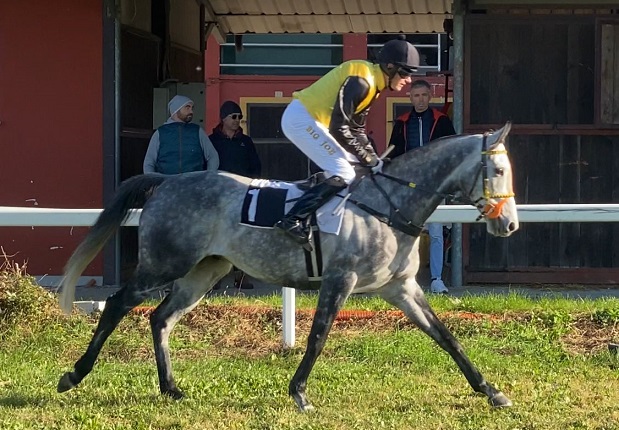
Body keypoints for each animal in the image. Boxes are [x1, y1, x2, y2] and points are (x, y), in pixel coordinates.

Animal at [58, 122, 520, 410]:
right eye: (497, 169)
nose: (510, 224)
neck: (388, 207)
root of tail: (167, 182)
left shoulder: (401, 287)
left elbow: (446, 336)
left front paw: (491, 390)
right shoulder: (340, 279)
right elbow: (317, 337)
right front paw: (299, 393)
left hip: (205, 271)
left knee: (161, 319)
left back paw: (171, 387)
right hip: (164, 264)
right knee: (118, 305)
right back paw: (74, 375)